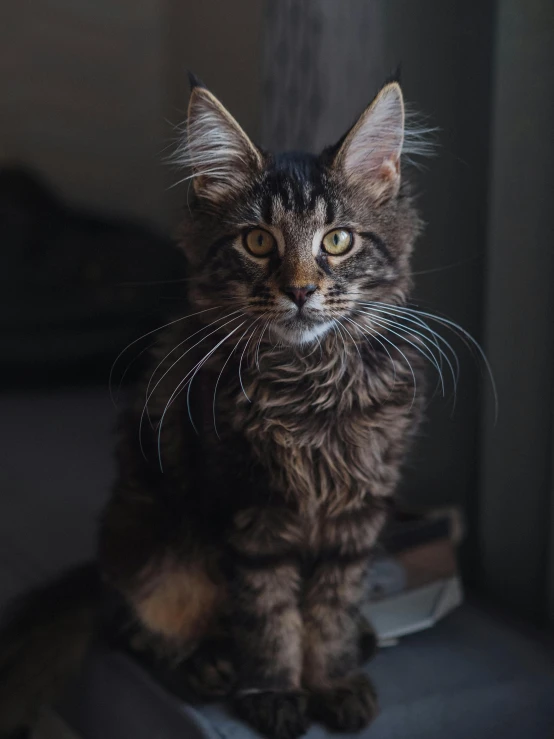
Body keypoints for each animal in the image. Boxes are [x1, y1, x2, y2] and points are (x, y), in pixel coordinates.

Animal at [0, 76, 432, 739]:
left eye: (337, 241)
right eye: (258, 241)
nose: (301, 290)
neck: (309, 389)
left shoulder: (356, 520)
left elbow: (330, 611)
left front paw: (332, 681)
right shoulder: (249, 513)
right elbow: (271, 616)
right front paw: (275, 693)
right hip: (156, 550)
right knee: (129, 626)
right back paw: (205, 663)